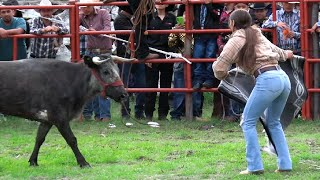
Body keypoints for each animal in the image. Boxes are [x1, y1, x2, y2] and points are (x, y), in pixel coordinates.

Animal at [0, 56, 130, 167]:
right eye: (106, 71)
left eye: (118, 70)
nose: (123, 95)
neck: (71, 81)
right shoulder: (59, 117)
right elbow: (72, 139)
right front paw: (83, 162)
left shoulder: (47, 119)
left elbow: (39, 138)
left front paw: (33, 161)